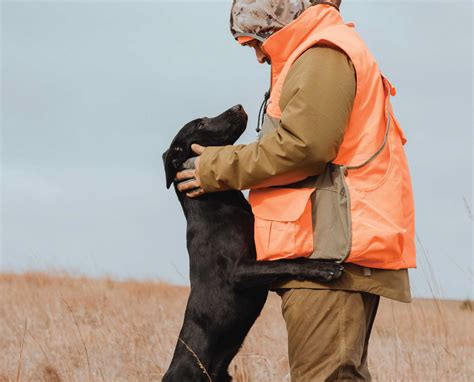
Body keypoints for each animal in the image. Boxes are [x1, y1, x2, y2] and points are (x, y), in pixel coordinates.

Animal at [161, 103, 342, 380]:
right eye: (201, 124)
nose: (238, 106)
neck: (217, 204)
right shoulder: (240, 271)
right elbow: (285, 262)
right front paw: (324, 268)